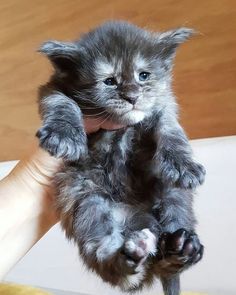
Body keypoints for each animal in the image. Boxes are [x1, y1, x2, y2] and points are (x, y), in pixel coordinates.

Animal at [36, 21, 205, 295]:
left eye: (143, 75)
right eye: (109, 81)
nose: (132, 97)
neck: (123, 125)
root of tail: (137, 219)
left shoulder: (164, 104)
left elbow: (171, 128)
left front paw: (183, 163)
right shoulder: (51, 89)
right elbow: (62, 103)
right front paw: (64, 135)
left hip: (174, 195)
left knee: (169, 249)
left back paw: (181, 249)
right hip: (86, 199)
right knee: (116, 266)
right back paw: (132, 255)